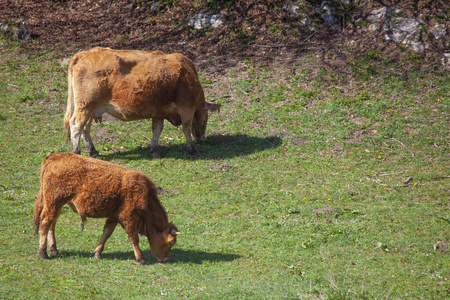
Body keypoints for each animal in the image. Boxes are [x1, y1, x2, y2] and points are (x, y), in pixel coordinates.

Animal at [34, 154, 180, 264]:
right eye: (170, 243)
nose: (165, 259)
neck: (145, 194)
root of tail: (55, 156)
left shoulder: (114, 217)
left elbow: (106, 234)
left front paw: (97, 253)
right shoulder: (128, 218)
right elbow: (134, 238)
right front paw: (141, 259)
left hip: (56, 204)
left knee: (52, 223)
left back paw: (54, 249)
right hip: (54, 203)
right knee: (45, 223)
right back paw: (43, 253)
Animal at [63, 46, 221, 157]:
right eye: (205, 118)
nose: (201, 138)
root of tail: (84, 54)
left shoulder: (159, 111)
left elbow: (157, 130)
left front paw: (155, 150)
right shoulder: (186, 107)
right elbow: (186, 128)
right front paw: (193, 149)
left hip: (90, 108)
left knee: (85, 128)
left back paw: (92, 151)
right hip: (85, 105)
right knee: (76, 125)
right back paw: (76, 152)